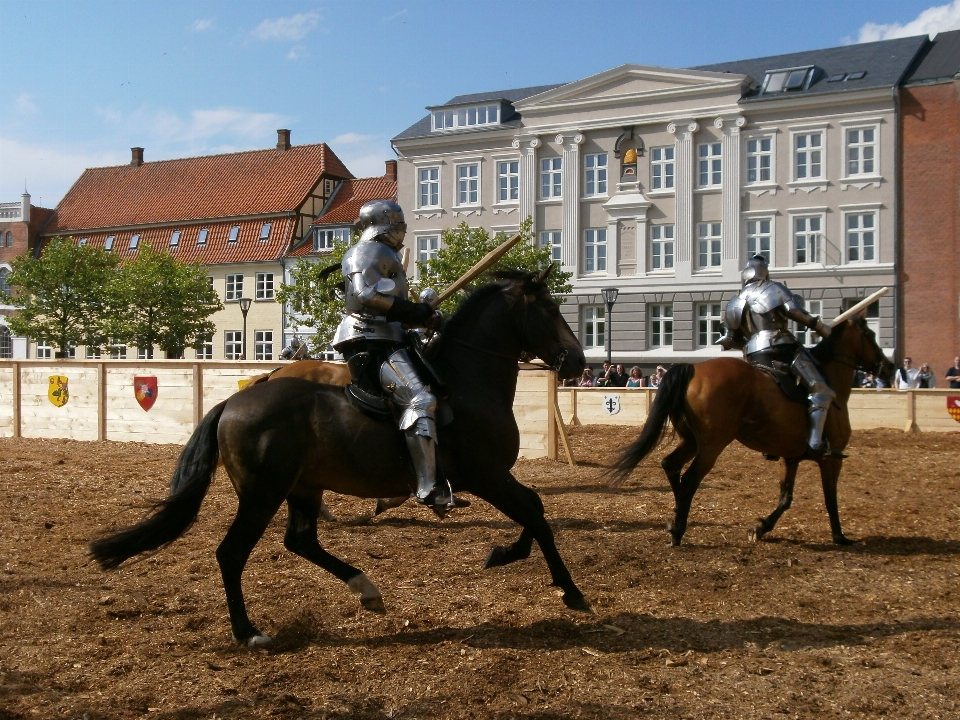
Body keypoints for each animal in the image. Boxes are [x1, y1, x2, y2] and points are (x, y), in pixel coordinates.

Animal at [92, 272, 584, 648]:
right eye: (549, 309)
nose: (578, 361)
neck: (466, 382)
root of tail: (232, 404)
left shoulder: (494, 479)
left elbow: (535, 509)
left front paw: (506, 554)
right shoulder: (489, 476)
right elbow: (535, 512)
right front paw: (570, 589)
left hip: (303, 487)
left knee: (301, 541)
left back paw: (366, 589)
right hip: (262, 494)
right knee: (232, 553)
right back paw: (249, 632)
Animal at [612, 318, 896, 548]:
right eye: (870, 335)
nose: (890, 367)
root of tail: (693, 369)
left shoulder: (790, 458)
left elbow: (786, 498)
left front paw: (761, 528)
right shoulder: (831, 459)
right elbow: (830, 498)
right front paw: (839, 536)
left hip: (691, 441)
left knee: (671, 465)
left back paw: (675, 518)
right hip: (711, 445)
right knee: (690, 478)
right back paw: (678, 530)